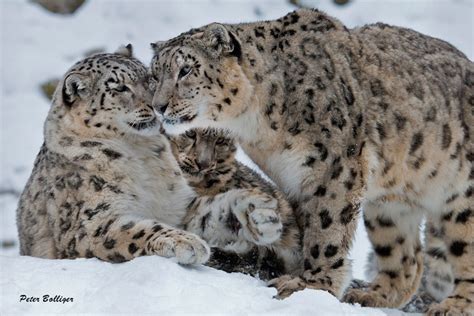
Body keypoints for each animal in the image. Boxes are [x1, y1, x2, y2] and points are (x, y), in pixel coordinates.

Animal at [17, 45, 286, 266]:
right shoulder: (90, 224)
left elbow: (210, 212)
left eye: (149, 79)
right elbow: (138, 230)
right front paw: (186, 243)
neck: (141, 153)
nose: (157, 106)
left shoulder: (177, 207)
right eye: (119, 87)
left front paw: (259, 213)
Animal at [150, 8, 472, 314]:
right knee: (406, 258)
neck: (259, 125)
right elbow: (306, 230)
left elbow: (327, 229)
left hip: (461, 197)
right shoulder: (292, 179)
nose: (158, 105)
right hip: (388, 208)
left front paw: (315, 283)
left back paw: (453, 305)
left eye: (186, 70)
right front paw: (299, 273)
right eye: (155, 75)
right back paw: (371, 294)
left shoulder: (334, 168)